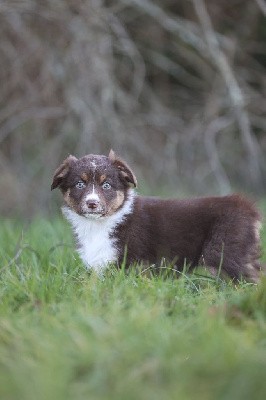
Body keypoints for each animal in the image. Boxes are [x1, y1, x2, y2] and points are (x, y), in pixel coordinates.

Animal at [51, 150, 262, 282]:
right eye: (79, 184)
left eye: (106, 185)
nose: (92, 203)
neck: (101, 223)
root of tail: (248, 207)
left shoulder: (132, 263)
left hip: (222, 252)